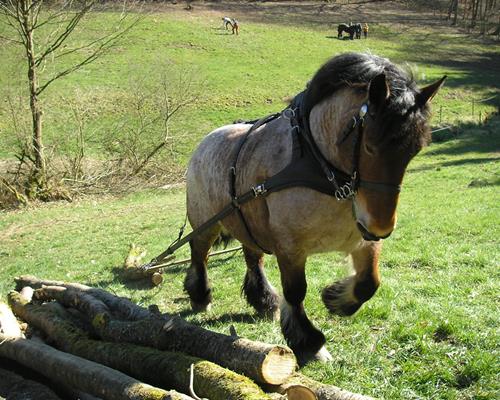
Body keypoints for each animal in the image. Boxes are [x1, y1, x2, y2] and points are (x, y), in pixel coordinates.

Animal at [184, 51, 446, 364]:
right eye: (369, 146)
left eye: (415, 150)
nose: (381, 227)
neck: (318, 165)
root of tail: (205, 141)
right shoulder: (290, 247)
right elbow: (296, 292)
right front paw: (309, 341)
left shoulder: (363, 238)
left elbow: (369, 282)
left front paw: (335, 299)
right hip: (206, 223)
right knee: (199, 254)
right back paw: (201, 296)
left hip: (248, 222)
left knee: (252, 257)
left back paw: (264, 301)